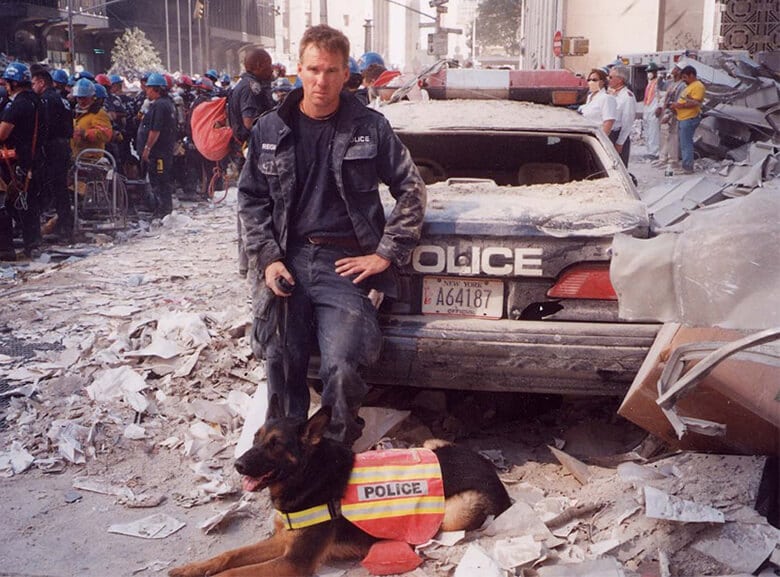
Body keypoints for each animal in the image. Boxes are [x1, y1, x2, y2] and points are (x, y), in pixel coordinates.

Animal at [170, 396, 512, 576]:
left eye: (276, 445)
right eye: (255, 439)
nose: (238, 465)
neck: (308, 476)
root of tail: (490, 468)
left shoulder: (293, 562)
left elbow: (233, 572)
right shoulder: (282, 542)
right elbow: (230, 555)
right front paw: (193, 568)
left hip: (455, 513)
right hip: (430, 444)